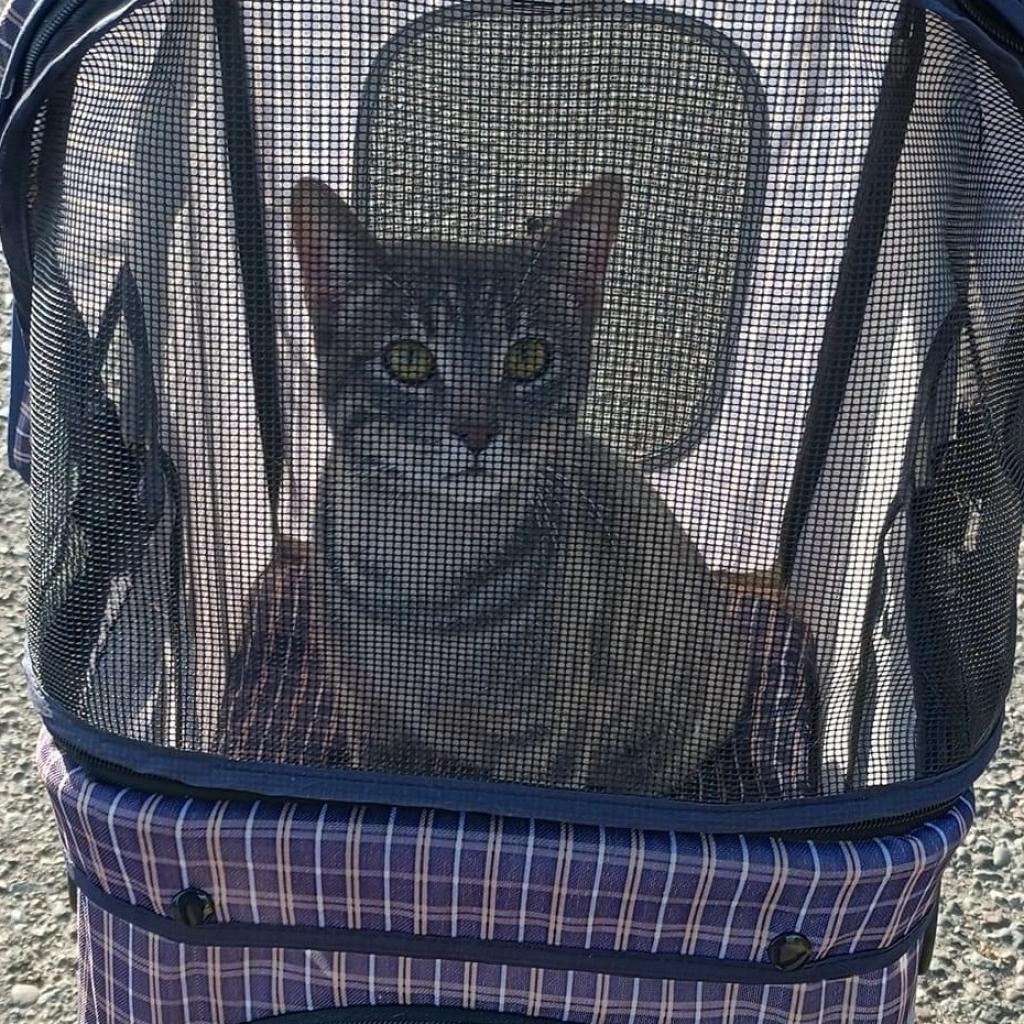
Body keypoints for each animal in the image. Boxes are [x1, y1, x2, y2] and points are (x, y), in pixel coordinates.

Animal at [292, 180, 749, 794]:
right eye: (407, 359)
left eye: (528, 357)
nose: (477, 431)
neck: (425, 573)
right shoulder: (371, 718)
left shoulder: (551, 734)